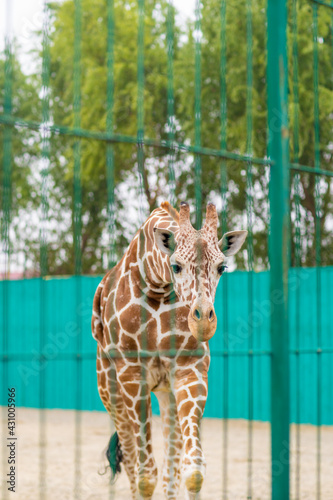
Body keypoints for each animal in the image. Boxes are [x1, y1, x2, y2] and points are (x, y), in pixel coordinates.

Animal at [91, 201, 246, 498]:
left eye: (222, 267)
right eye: (176, 265)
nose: (203, 322)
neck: (156, 284)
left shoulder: (189, 371)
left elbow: (193, 470)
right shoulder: (132, 375)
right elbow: (145, 476)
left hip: (166, 392)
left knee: (170, 469)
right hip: (110, 392)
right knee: (131, 462)